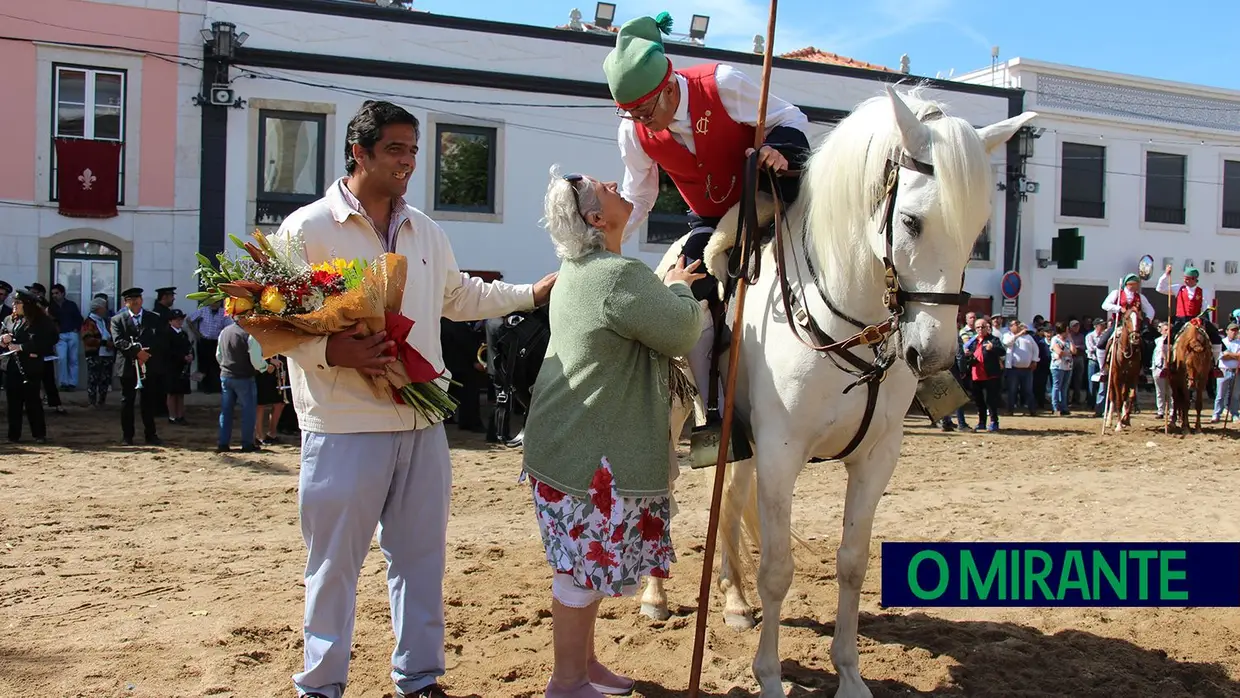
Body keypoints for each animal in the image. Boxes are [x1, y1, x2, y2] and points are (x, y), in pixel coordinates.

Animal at [639, 87, 1036, 698]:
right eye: (912, 221)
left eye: (978, 229)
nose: (934, 355)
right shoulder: (781, 453)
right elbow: (777, 568)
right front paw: (769, 677)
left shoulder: (875, 456)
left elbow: (852, 561)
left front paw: (849, 674)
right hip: (675, 421)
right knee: (661, 493)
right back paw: (656, 597)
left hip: (740, 442)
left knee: (728, 504)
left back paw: (734, 602)